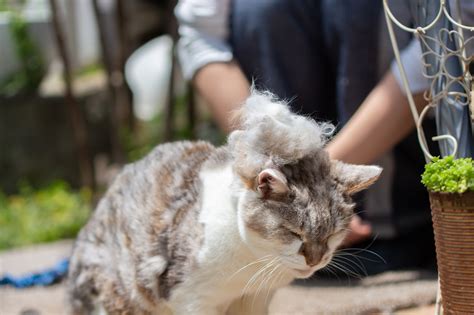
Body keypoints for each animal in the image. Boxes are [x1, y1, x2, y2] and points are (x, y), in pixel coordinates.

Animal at [68, 89, 382, 315]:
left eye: (332, 234)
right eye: (293, 233)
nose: (316, 260)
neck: (250, 262)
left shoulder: (255, 298)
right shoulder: (191, 298)